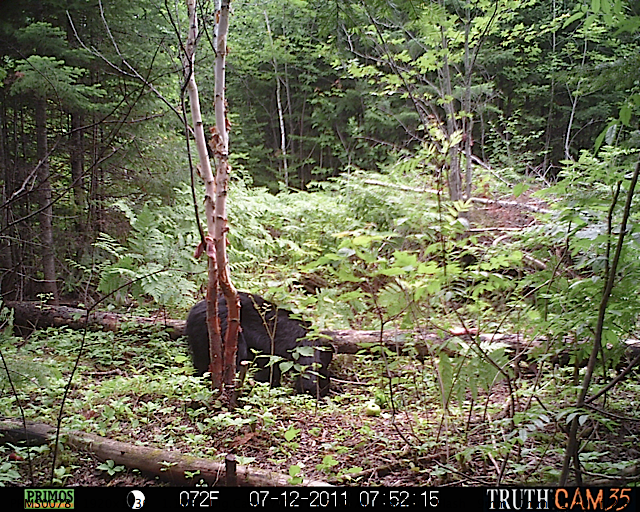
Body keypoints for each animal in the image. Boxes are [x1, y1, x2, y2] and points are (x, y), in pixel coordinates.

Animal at [185, 292, 332, 396]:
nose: (324, 391)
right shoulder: (303, 347)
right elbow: (306, 374)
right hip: (224, 328)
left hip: (199, 338)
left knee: (201, 363)